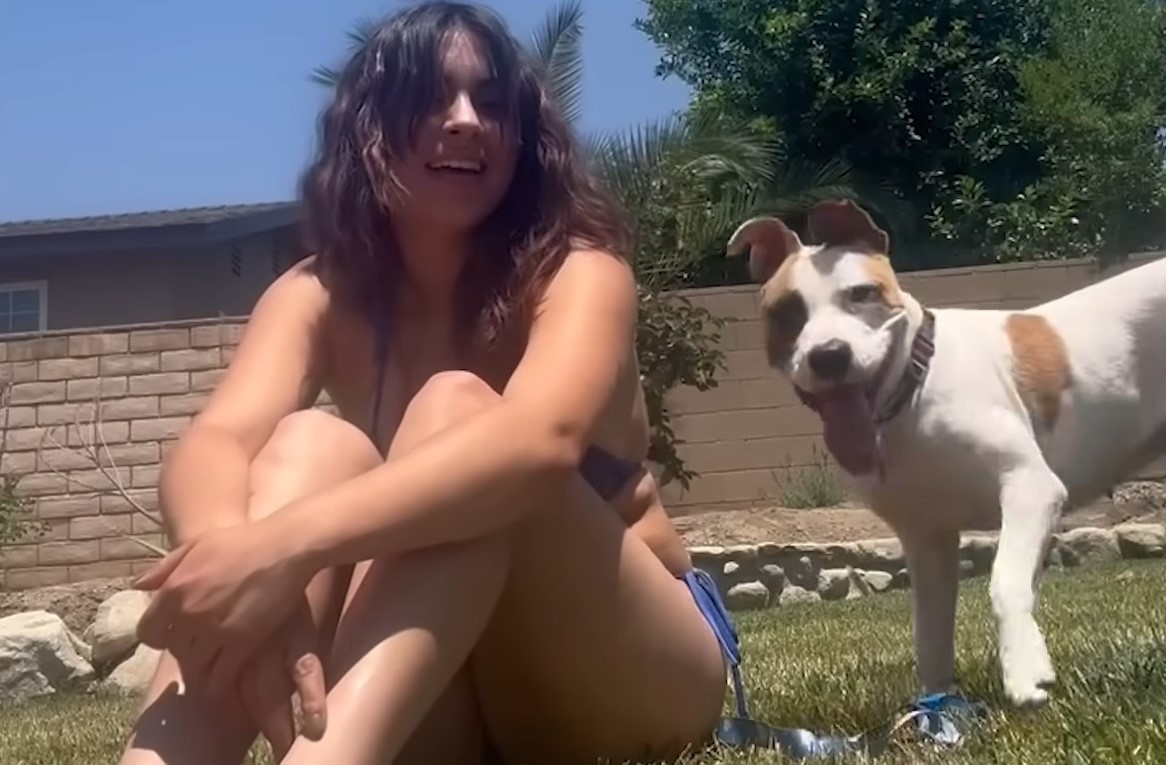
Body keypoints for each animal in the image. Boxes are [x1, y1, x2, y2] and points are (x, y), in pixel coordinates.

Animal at [722, 200, 1166, 709]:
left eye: (862, 293)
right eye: (788, 311)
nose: (829, 355)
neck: (913, 391)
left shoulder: (1029, 488)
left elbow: (1005, 582)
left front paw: (1024, 671)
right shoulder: (926, 537)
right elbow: (930, 635)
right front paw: (937, 708)